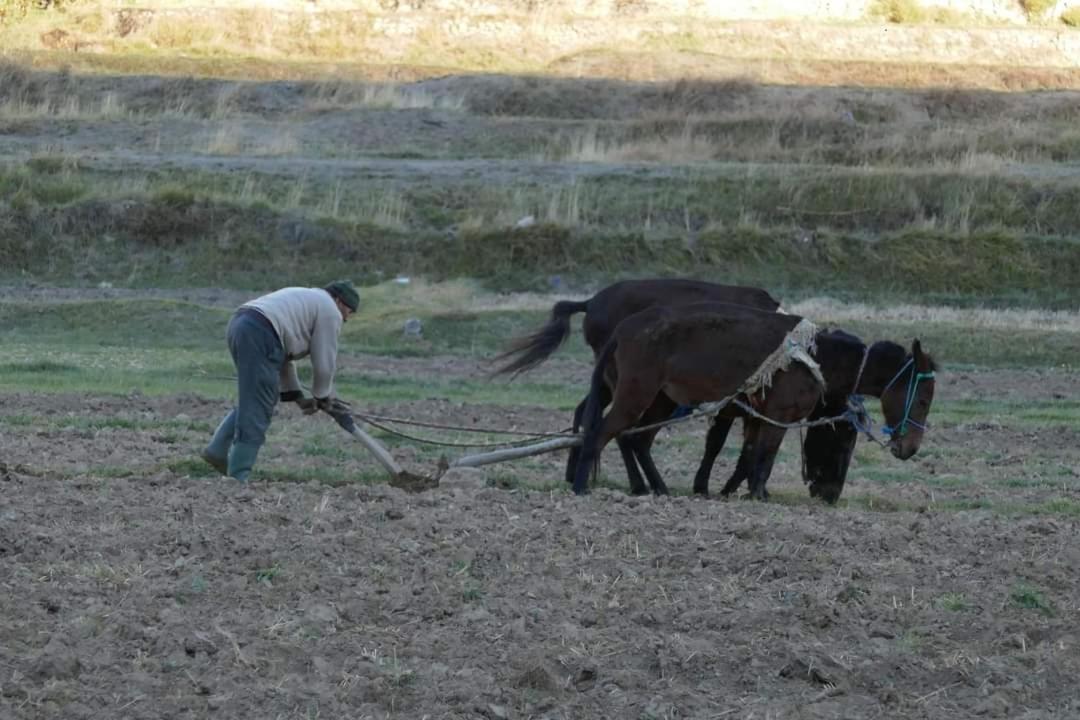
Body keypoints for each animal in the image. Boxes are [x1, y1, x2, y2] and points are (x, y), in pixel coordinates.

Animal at [494, 280, 781, 496]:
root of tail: (591, 303)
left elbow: (749, 445)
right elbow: (719, 444)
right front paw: (710, 487)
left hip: (614, 384)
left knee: (588, 414)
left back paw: (579, 473)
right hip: (627, 385)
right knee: (616, 428)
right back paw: (634, 484)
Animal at [574, 302, 937, 496]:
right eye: (922, 401)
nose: (910, 448)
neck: (816, 356)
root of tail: (624, 329)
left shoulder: (756, 416)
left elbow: (749, 454)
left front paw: (731, 490)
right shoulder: (778, 417)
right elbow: (766, 455)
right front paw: (758, 493)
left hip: (661, 401)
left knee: (635, 440)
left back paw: (656, 488)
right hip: (636, 396)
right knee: (602, 433)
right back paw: (580, 486)